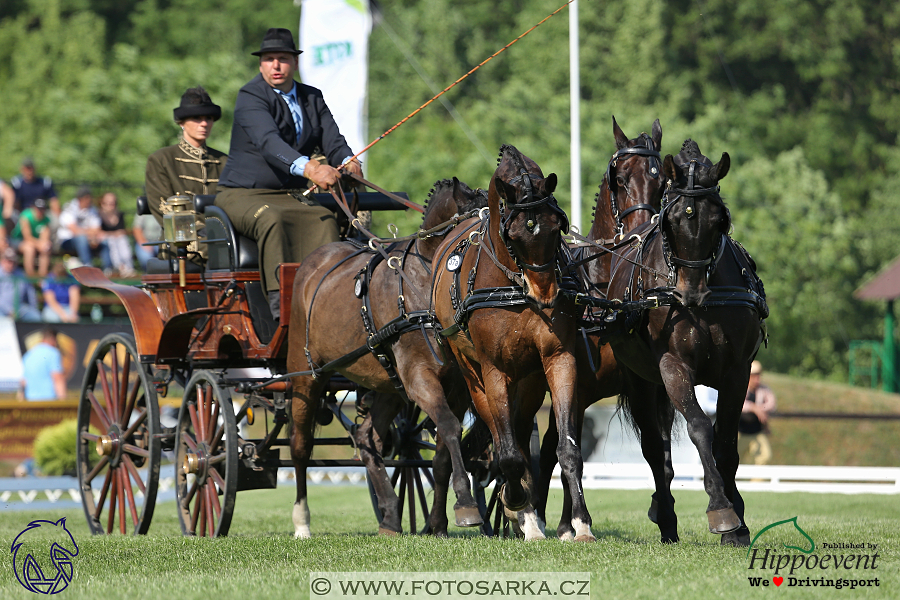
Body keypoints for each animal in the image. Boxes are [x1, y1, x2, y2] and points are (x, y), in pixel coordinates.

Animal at [286, 176, 488, 536]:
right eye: (471, 236)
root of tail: (313, 262)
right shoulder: (420, 377)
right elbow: (449, 428)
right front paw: (465, 504)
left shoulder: (457, 387)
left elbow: (441, 453)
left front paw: (437, 522)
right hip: (306, 374)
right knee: (300, 444)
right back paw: (302, 521)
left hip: (388, 385)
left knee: (367, 439)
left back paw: (391, 516)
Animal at [428, 144, 592, 540]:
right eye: (514, 234)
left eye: (557, 227)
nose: (545, 294)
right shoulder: (494, 371)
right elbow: (508, 453)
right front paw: (515, 502)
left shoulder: (559, 359)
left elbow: (567, 448)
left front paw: (580, 523)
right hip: (474, 378)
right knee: (500, 435)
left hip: (528, 381)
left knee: (518, 429)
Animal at [604, 142, 768, 548]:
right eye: (672, 221)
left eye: (718, 221)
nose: (688, 295)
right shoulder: (672, 367)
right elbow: (699, 428)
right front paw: (721, 509)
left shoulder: (738, 371)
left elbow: (726, 442)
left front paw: (738, 521)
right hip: (641, 379)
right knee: (653, 448)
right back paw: (666, 518)